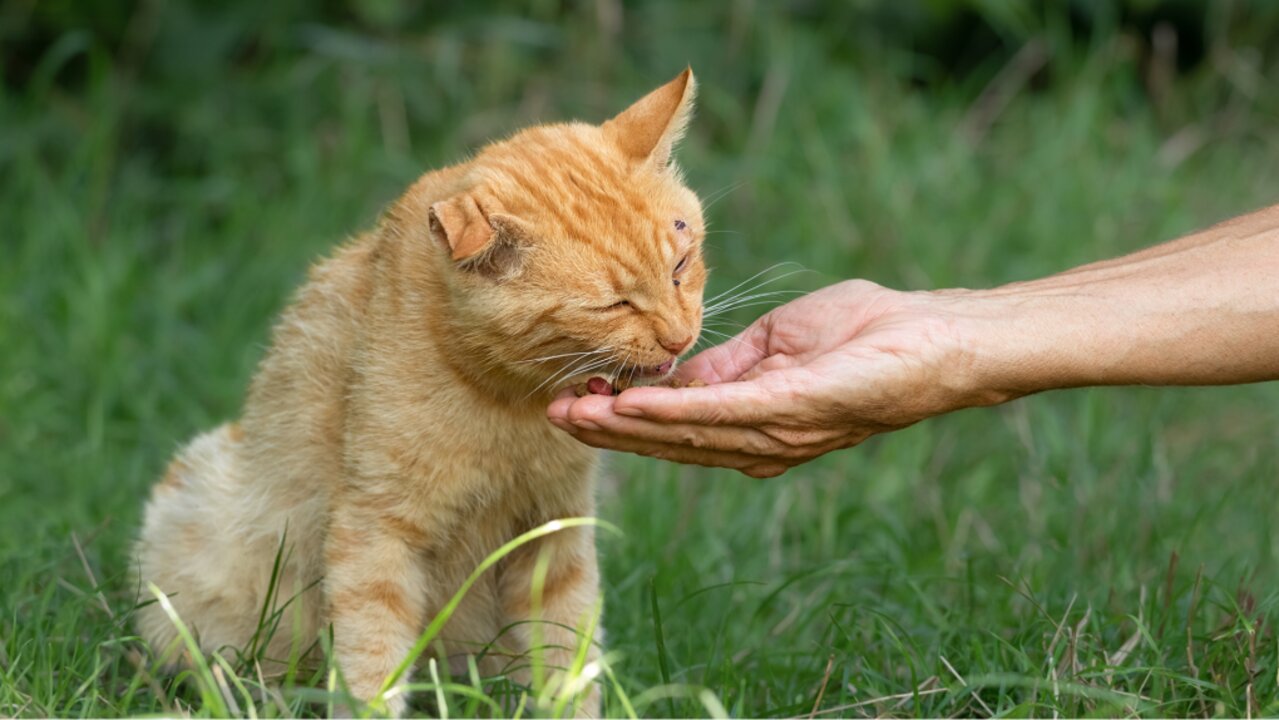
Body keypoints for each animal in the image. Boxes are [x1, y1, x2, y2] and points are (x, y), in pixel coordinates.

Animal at [137, 69, 711, 716]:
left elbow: (569, 655)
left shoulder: (554, 535)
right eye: (613, 305)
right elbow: (372, 660)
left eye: (681, 266)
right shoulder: (375, 535)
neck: (510, 403)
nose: (679, 336)